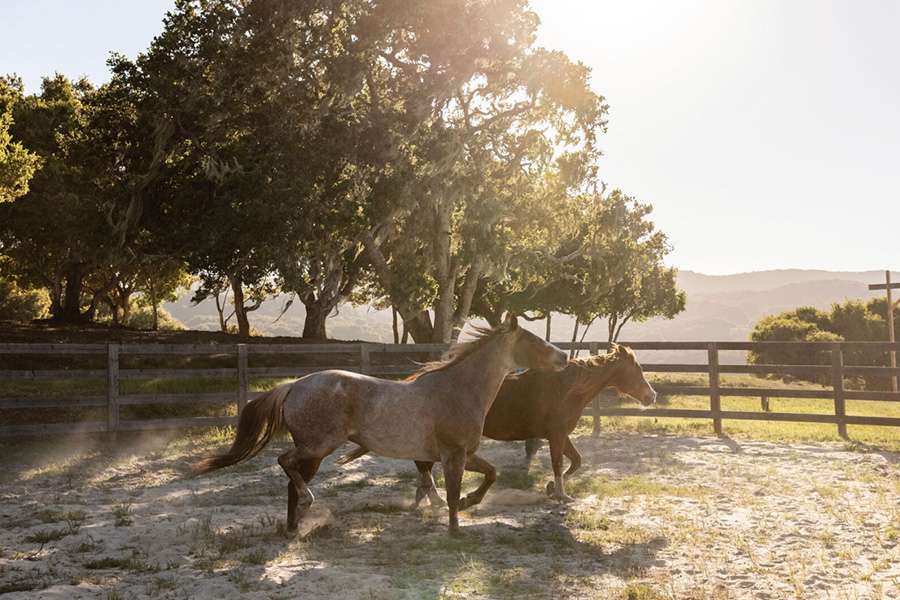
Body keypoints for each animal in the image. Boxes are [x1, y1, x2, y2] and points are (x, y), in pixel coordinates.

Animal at [192, 314, 568, 535]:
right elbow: (452, 490)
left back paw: (294, 528)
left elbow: (490, 474)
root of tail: (294, 385)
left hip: (313, 453)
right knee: (284, 463)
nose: (564, 356)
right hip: (317, 446)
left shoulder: (461, 454)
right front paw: (455, 526)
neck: (458, 389)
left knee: (289, 481)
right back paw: (307, 505)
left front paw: (466, 504)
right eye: (535, 341)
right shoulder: (453, 455)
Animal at [340, 343, 656, 503]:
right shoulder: (555, 435)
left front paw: (552, 489)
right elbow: (558, 464)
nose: (651, 396)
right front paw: (560, 494)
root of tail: (411, 381)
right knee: (423, 465)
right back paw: (434, 498)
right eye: (637, 369)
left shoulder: (560, 435)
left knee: (423, 465)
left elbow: (575, 462)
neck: (567, 387)